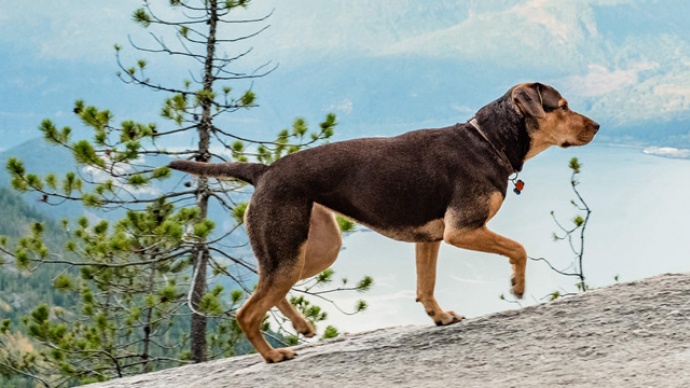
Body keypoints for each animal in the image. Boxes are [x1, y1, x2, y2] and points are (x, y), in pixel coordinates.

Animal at [168, 82, 596, 364]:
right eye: (562, 106)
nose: (597, 126)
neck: (487, 141)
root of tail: (263, 170)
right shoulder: (463, 230)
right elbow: (519, 248)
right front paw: (517, 285)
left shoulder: (431, 239)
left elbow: (426, 286)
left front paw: (440, 317)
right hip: (290, 249)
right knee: (247, 311)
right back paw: (273, 355)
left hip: (313, 250)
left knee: (269, 291)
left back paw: (302, 326)